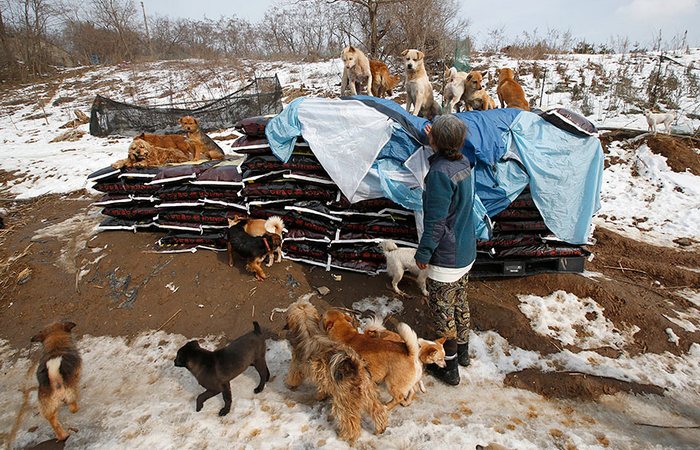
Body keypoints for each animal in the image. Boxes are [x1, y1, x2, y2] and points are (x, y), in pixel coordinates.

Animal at [284, 296, 388, 442]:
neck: (307, 327)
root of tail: (355, 367)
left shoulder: (297, 363)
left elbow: (294, 375)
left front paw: (290, 384)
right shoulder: (324, 378)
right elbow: (322, 387)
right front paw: (320, 395)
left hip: (344, 402)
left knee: (351, 422)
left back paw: (346, 436)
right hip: (368, 393)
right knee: (378, 410)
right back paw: (380, 428)